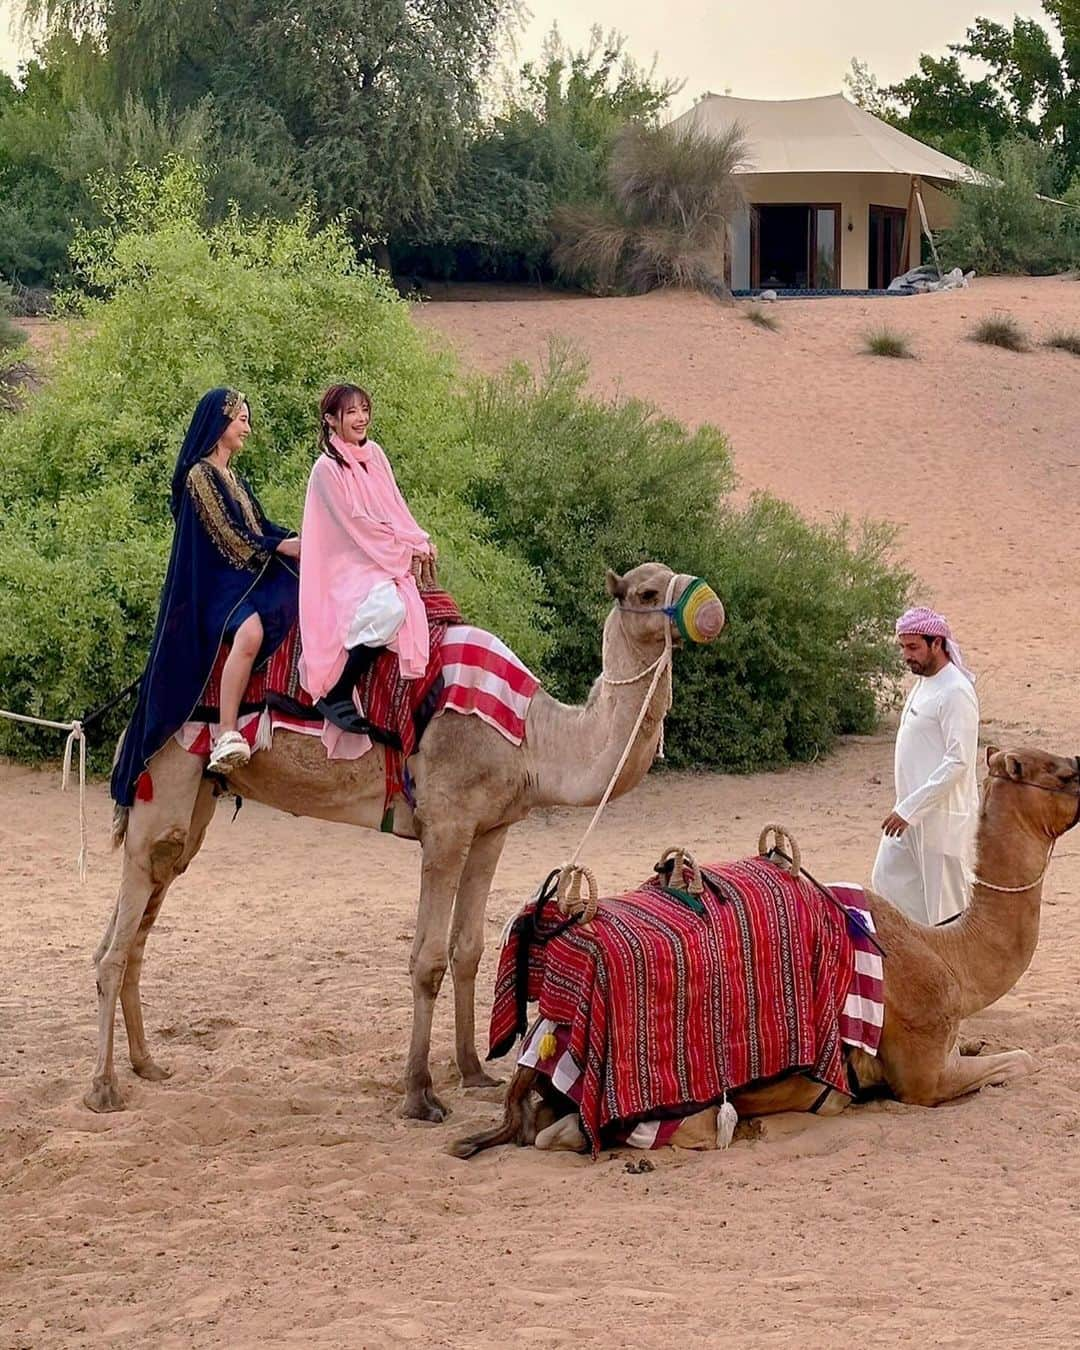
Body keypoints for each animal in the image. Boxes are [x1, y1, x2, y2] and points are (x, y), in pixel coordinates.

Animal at [86, 558, 723, 1117]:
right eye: (647, 592)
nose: (712, 607)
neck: (533, 739)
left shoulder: (492, 829)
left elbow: (469, 950)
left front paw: (473, 1070)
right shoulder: (445, 825)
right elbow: (428, 960)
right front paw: (420, 1094)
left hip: (197, 801)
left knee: (136, 924)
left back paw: (147, 1066)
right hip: (166, 777)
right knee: (115, 943)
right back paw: (103, 1089)